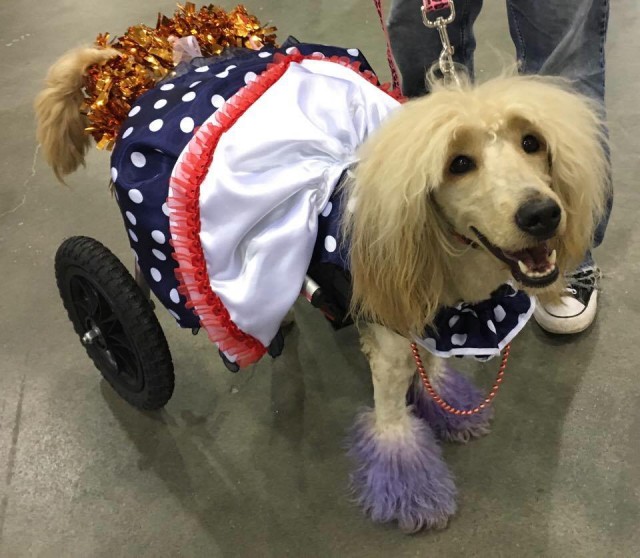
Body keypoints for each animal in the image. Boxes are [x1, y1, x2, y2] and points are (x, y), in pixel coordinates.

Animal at [37, 36, 608, 532]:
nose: (543, 215)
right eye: (459, 164)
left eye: (532, 143)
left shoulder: (436, 323)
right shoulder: (392, 349)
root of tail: (149, 70)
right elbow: (393, 430)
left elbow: (436, 375)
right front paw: (414, 500)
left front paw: (448, 410)